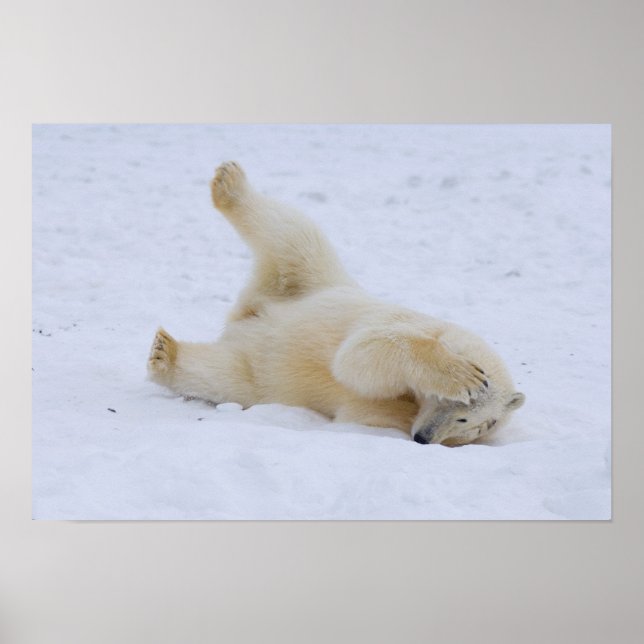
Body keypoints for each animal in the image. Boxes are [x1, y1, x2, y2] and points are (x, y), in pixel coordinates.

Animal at [147, 161, 525, 446]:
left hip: (259, 372)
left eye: (474, 423)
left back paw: (166, 354)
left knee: (222, 376)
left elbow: (364, 407)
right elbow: (363, 353)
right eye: (459, 406)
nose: (424, 438)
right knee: (293, 233)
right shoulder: (407, 322)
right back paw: (230, 183)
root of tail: (249, 312)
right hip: (314, 278)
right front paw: (463, 374)